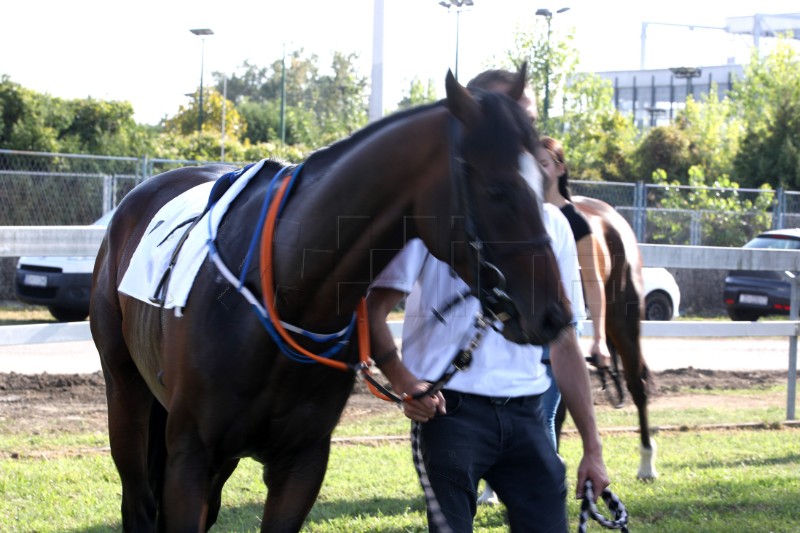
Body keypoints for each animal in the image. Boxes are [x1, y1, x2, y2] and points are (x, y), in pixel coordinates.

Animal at [90, 66, 572, 532]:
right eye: (497, 191)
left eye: (541, 184)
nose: (554, 314)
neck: (285, 294)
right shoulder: (191, 456)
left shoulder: (302, 464)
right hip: (126, 393)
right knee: (137, 501)